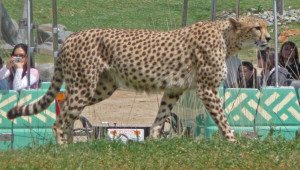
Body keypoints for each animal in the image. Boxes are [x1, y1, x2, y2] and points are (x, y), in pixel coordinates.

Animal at [7, 15, 270, 144]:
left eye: (266, 26)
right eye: (257, 27)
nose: (268, 38)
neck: (228, 38)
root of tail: (71, 37)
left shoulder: (174, 90)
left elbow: (161, 117)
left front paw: (153, 142)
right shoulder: (207, 89)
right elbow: (222, 118)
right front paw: (233, 142)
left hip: (101, 88)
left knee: (68, 114)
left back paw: (74, 148)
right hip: (84, 86)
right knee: (60, 120)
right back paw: (64, 149)